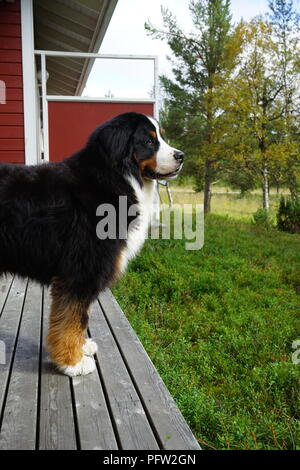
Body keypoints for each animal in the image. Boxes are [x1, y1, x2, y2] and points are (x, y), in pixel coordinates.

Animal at [0, 112, 183, 376]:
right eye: (149, 141)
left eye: (161, 136)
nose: (181, 156)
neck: (114, 180)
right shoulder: (81, 272)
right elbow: (71, 318)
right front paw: (72, 362)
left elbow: (79, 317)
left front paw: (81, 347)